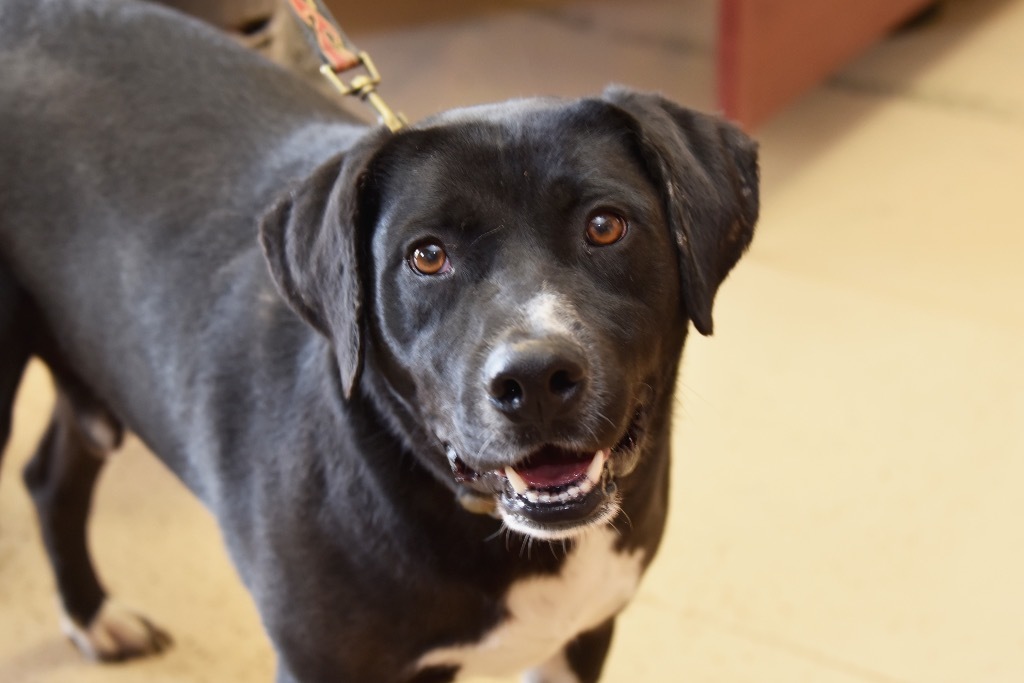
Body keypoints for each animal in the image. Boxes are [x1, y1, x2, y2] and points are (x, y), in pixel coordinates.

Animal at [0, 1, 753, 683]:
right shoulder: (322, 665)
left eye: (604, 225)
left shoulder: (582, 636)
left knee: (50, 475)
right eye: (427, 256)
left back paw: (92, 614)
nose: (535, 379)